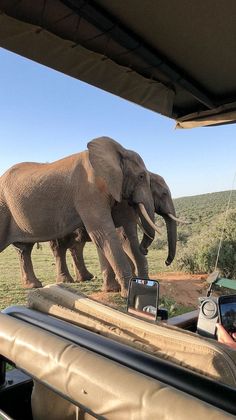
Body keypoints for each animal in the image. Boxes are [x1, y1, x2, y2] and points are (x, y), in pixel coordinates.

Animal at [0, 137, 159, 296]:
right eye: (141, 176)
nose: (145, 249)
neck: (119, 150)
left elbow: (125, 231)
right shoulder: (89, 191)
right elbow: (103, 233)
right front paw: (126, 294)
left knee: (24, 249)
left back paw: (34, 285)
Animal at [14, 171, 179, 292]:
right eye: (164, 194)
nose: (167, 262)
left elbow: (124, 240)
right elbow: (121, 240)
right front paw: (115, 288)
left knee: (74, 246)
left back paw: (84, 278)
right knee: (52, 247)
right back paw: (52, 283)